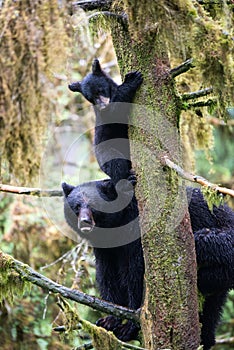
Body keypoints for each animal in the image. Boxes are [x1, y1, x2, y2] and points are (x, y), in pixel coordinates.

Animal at [62, 180, 234, 350]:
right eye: (76, 206)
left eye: (95, 206)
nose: (84, 222)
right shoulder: (106, 249)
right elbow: (107, 275)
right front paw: (109, 320)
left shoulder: (136, 235)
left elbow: (135, 274)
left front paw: (129, 325)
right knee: (214, 305)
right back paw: (206, 338)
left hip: (223, 240)